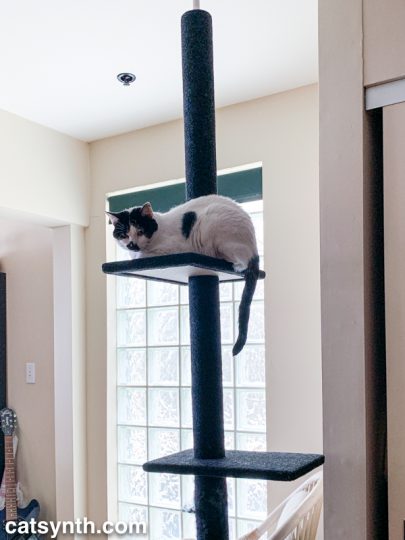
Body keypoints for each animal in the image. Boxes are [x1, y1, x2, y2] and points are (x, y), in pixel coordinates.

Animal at [106, 194, 258, 354]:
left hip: (214, 222)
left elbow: (142, 256)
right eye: (124, 235)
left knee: (241, 261)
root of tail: (255, 250)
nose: (132, 245)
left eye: (140, 231)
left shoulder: (173, 249)